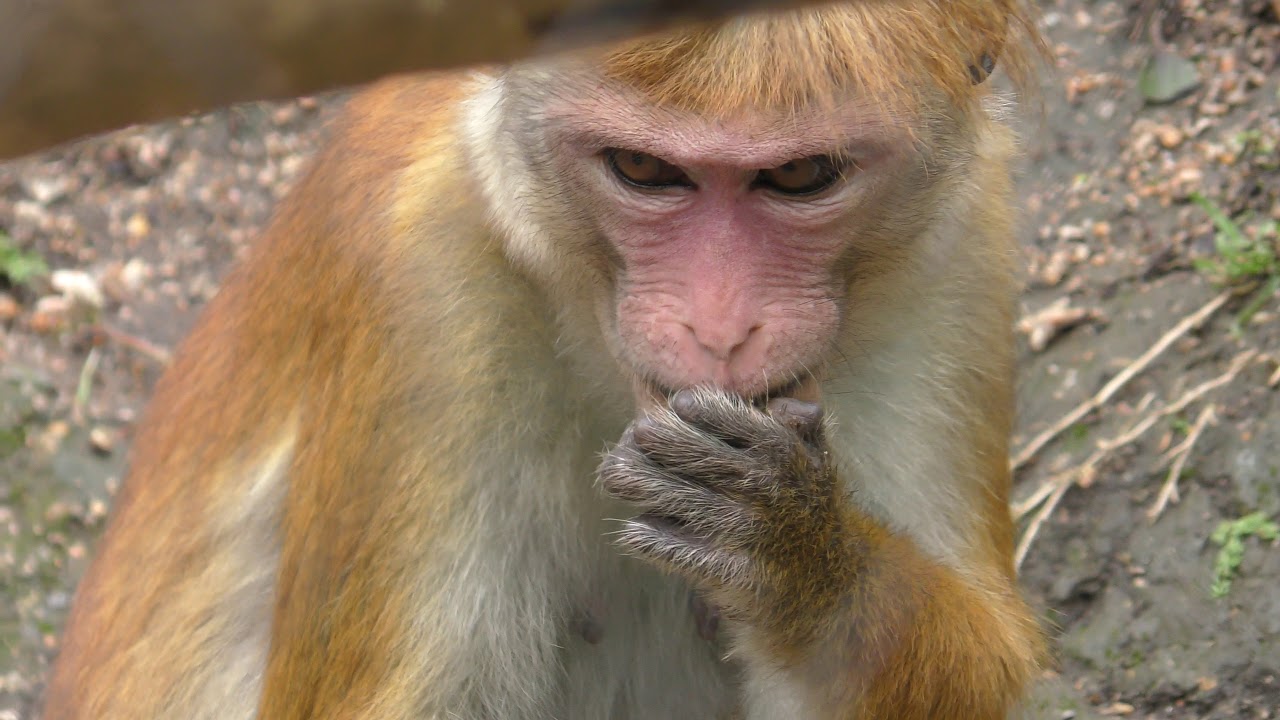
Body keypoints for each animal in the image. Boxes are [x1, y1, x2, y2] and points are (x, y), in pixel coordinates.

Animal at [43, 2, 1048, 718]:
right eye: (643, 171)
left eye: (801, 178)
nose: (719, 327)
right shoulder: (417, 283)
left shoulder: (962, 245)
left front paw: (803, 559)